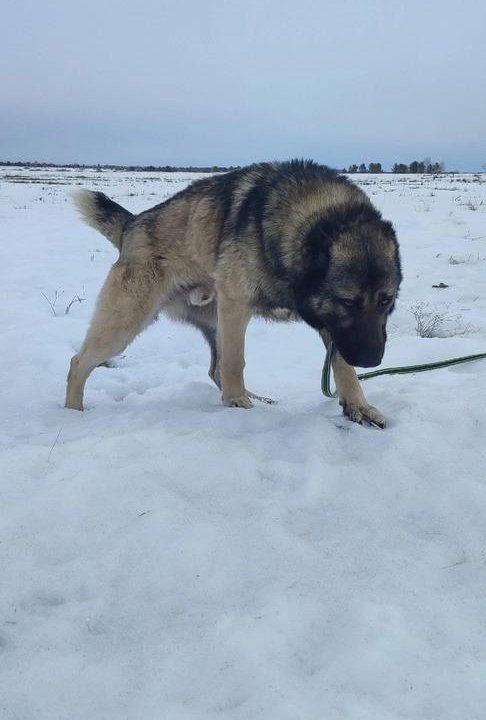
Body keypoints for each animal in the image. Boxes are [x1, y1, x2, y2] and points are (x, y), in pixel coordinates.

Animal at [66, 160, 400, 424]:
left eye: (386, 300)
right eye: (348, 302)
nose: (372, 360)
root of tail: (132, 224)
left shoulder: (332, 326)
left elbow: (343, 367)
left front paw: (358, 406)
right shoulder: (237, 306)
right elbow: (235, 361)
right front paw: (237, 403)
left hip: (212, 321)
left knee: (215, 370)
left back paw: (258, 398)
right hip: (126, 323)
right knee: (78, 364)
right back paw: (72, 413)